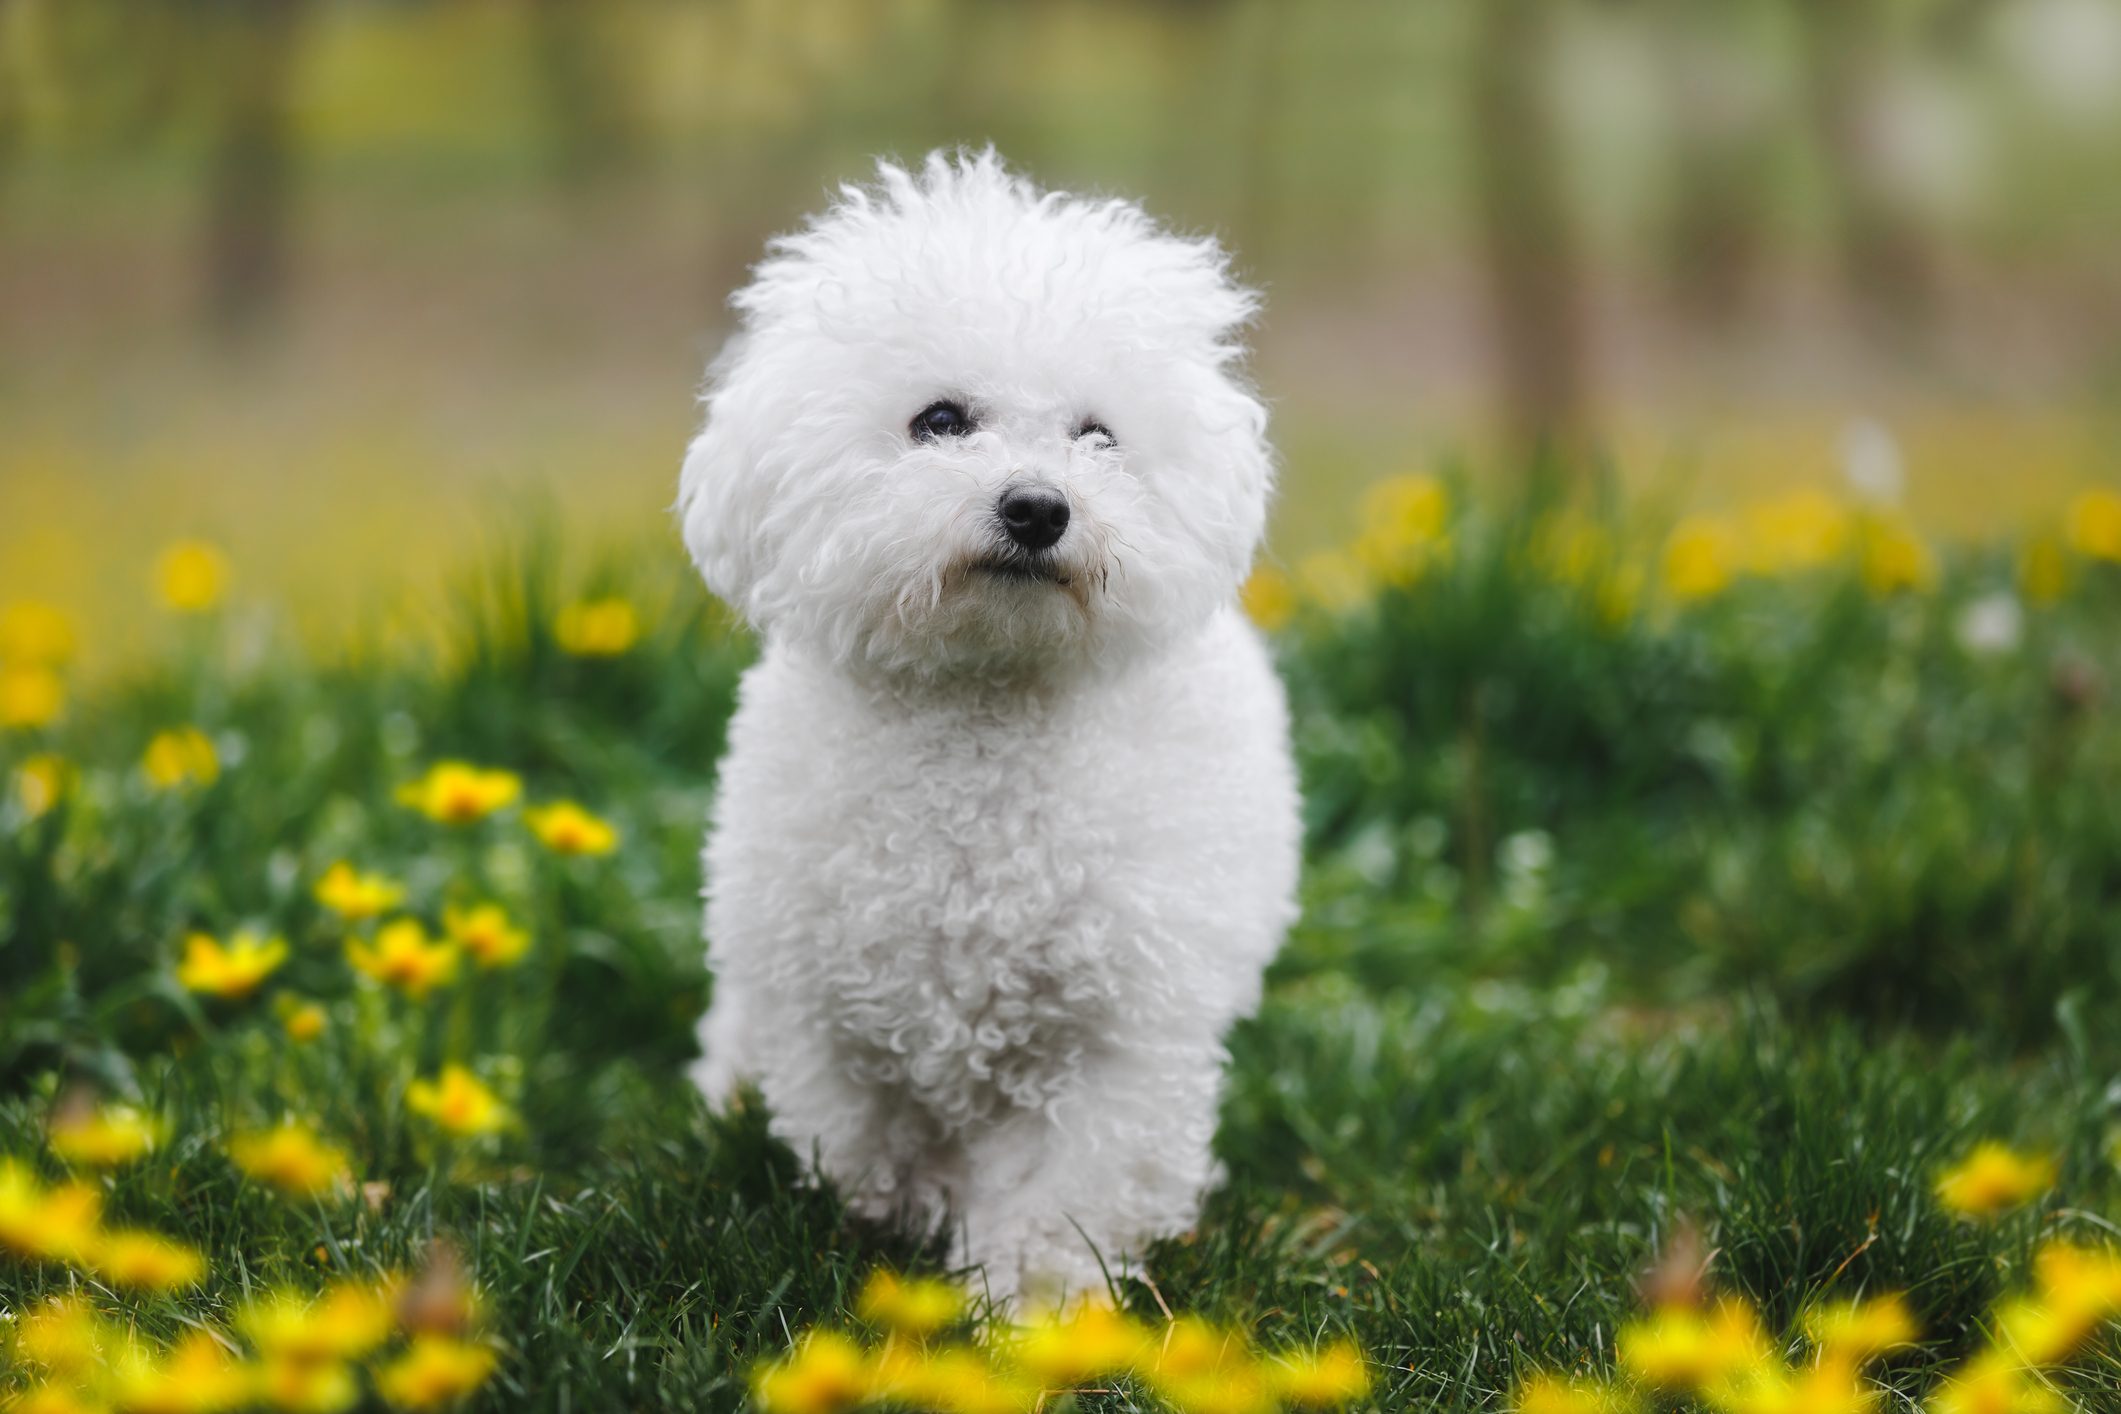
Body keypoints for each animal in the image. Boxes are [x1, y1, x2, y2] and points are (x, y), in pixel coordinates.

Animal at [682, 152, 1306, 1305]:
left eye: (1098, 435)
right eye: (939, 421)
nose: (1038, 508)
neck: (984, 715)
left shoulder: (1116, 1040)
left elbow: (1068, 1190)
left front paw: (1033, 1301)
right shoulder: (831, 1016)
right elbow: (862, 1139)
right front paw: (894, 1223)